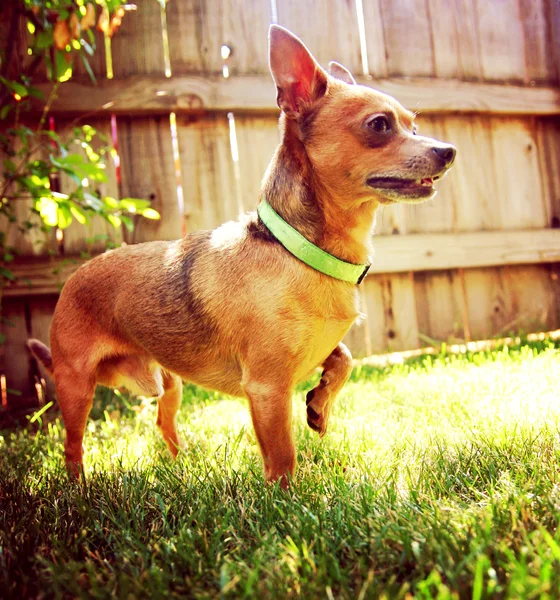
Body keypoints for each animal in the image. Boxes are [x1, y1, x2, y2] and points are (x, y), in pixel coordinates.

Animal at [28, 24, 456, 488]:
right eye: (379, 125)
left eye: (414, 124)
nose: (448, 151)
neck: (298, 250)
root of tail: (73, 278)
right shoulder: (268, 389)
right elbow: (282, 454)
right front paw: (287, 498)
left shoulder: (314, 351)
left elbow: (344, 358)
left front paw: (320, 405)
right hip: (77, 387)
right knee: (72, 446)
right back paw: (79, 486)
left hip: (170, 383)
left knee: (163, 422)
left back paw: (181, 466)